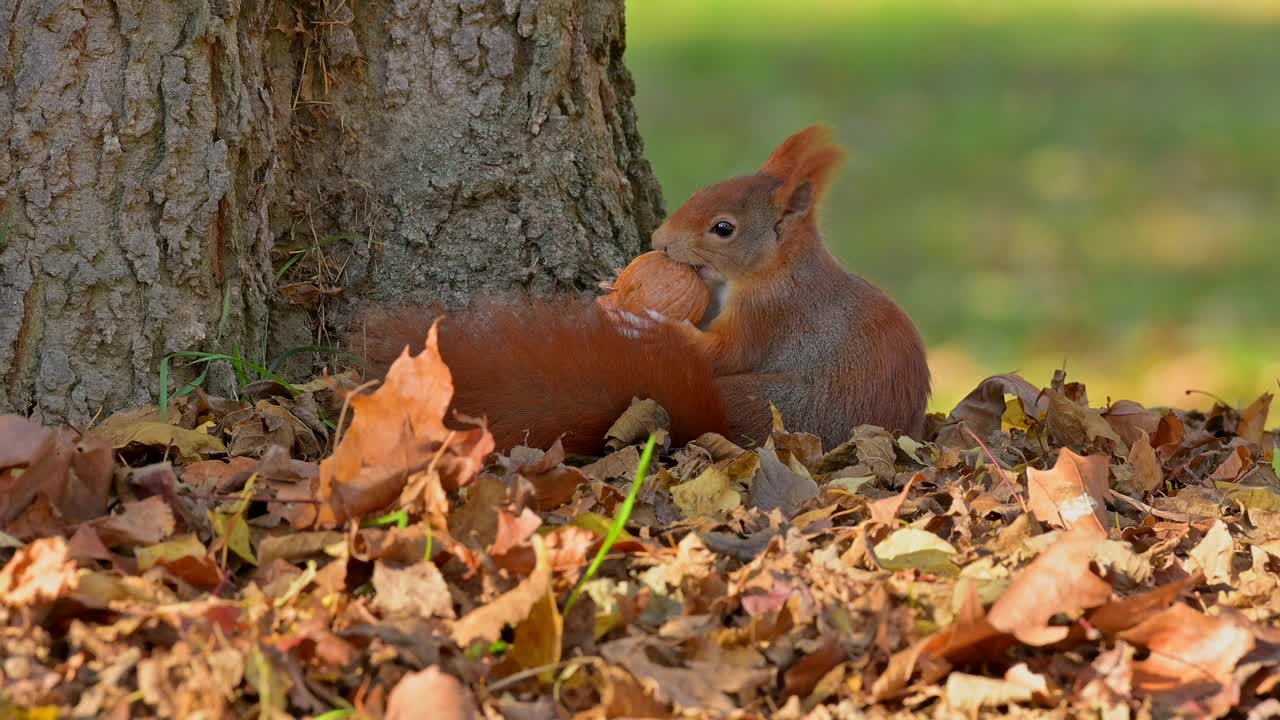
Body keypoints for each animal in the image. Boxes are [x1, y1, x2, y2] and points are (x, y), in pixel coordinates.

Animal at [360, 125, 931, 450]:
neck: (776, 268)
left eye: (723, 228)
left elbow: (726, 350)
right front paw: (617, 282)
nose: (658, 239)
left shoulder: (772, 313)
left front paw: (651, 323)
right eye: (702, 189)